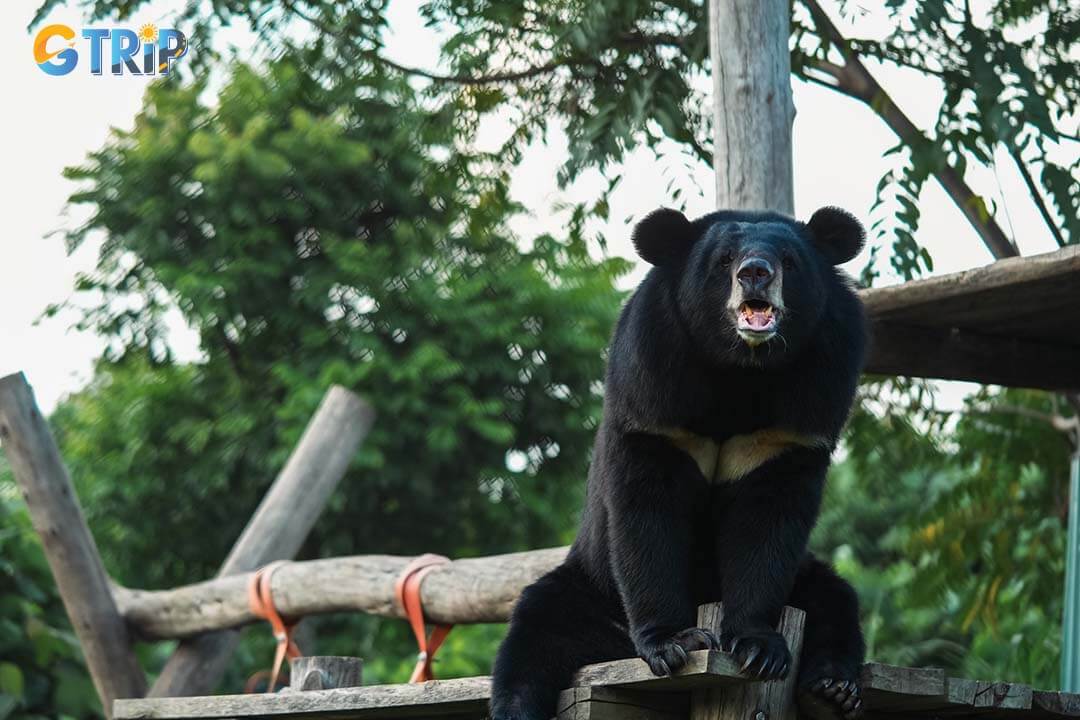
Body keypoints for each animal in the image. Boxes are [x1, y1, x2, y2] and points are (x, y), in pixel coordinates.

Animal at [490, 205, 868, 716]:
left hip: (804, 582)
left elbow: (768, 520)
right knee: (537, 632)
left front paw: (757, 647)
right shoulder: (655, 383)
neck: (742, 370)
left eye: (789, 261)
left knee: (834, 600)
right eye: (724, 260)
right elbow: (649, 510)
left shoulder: (807, 404)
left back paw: (833, 688)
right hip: (591, 588)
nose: (755, 273)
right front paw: (678, 643)